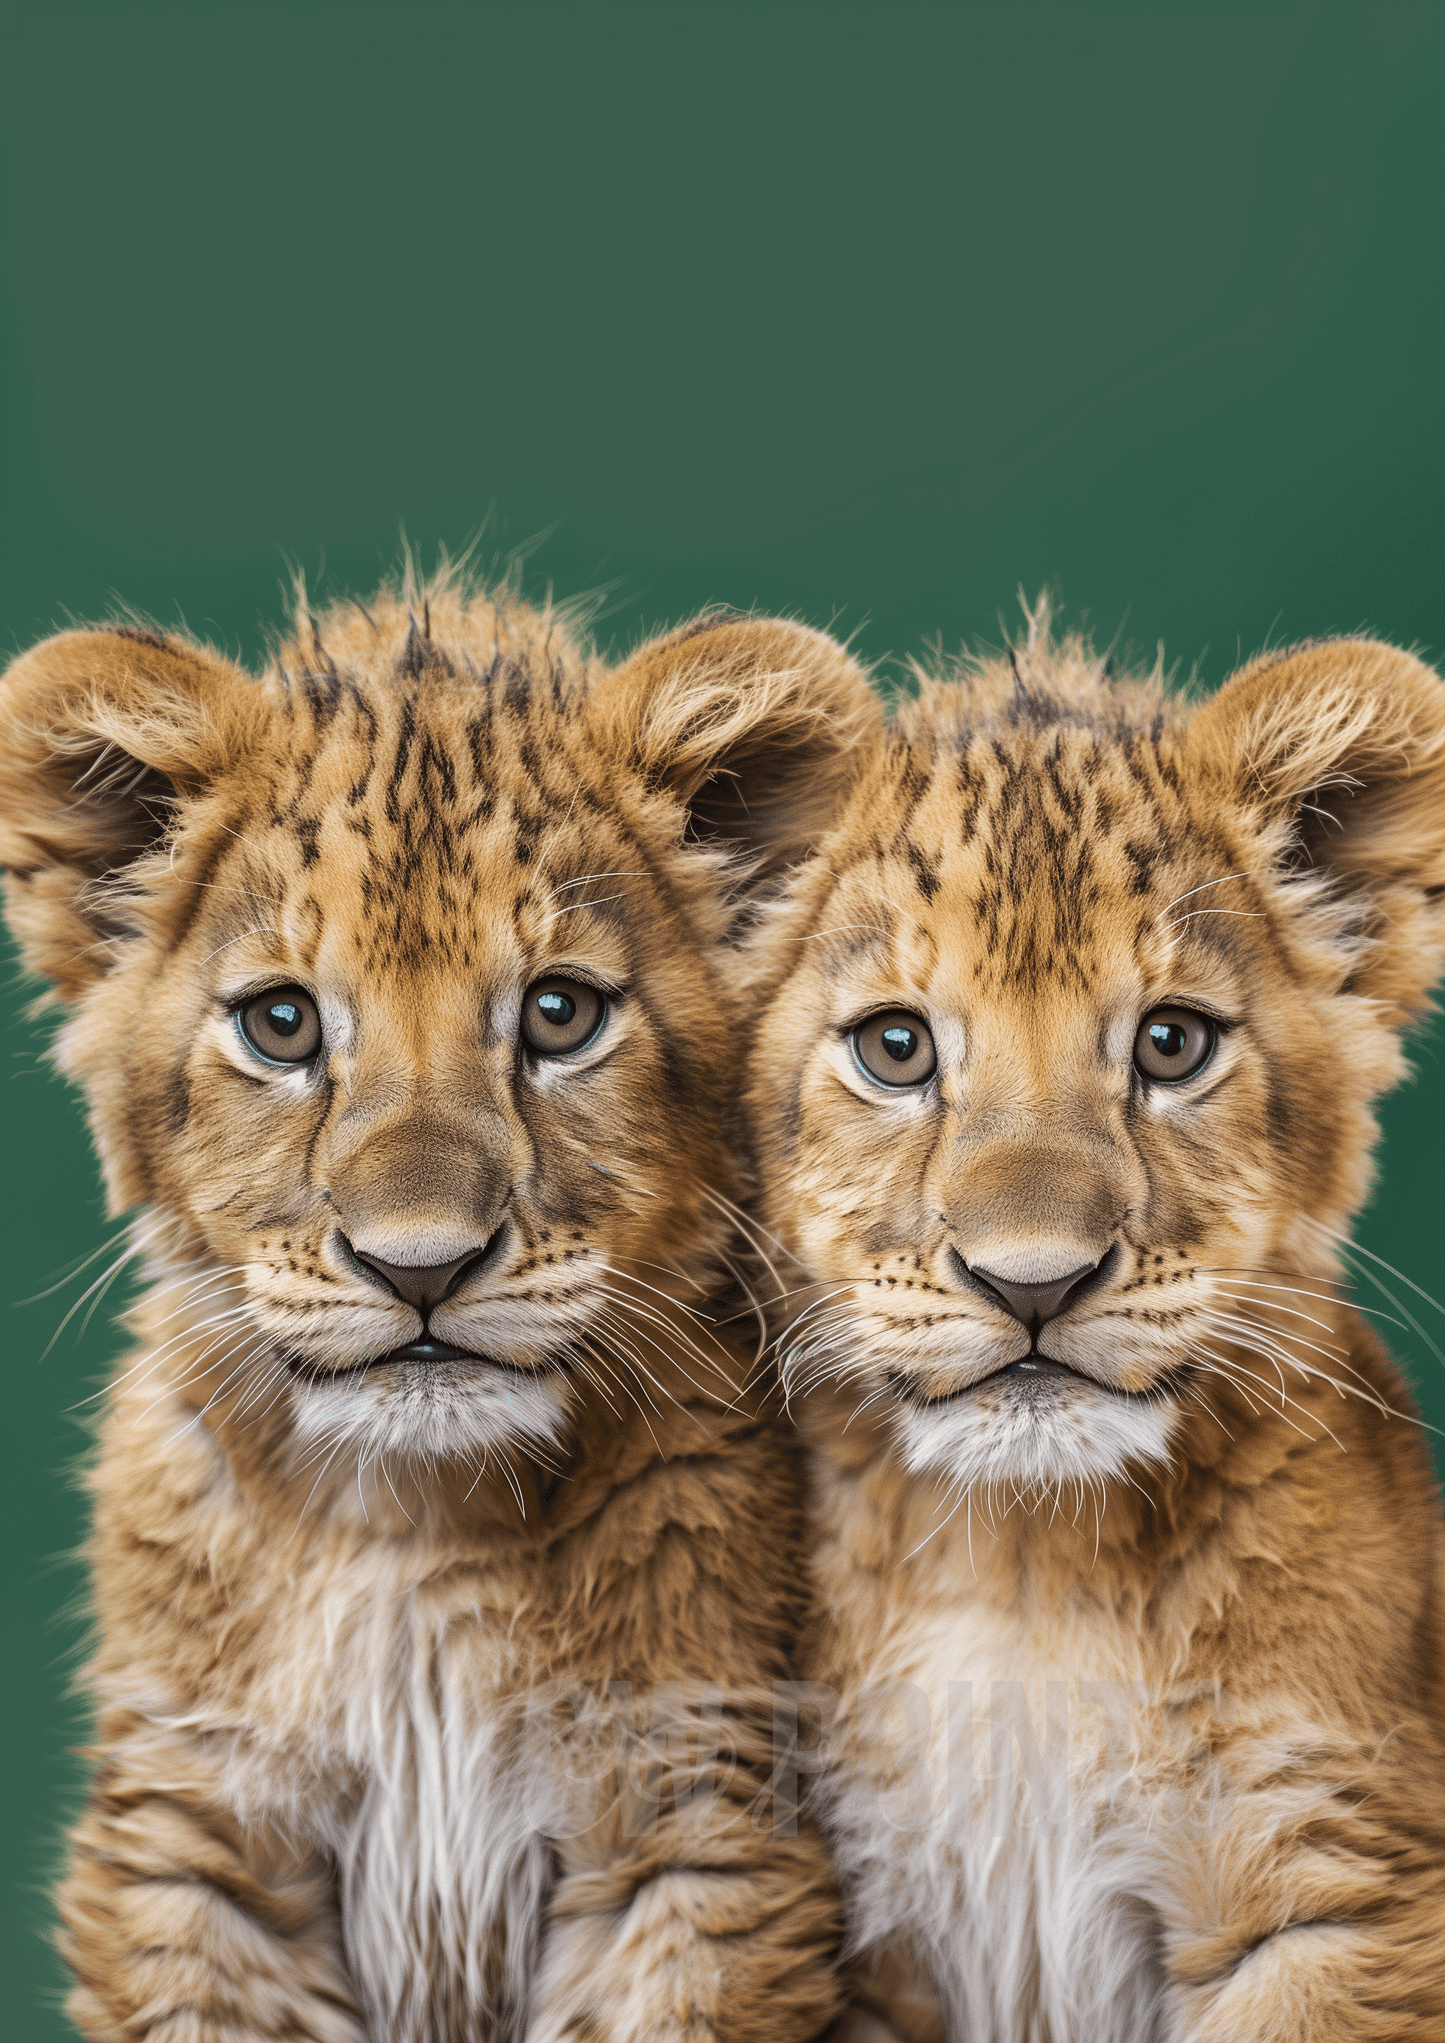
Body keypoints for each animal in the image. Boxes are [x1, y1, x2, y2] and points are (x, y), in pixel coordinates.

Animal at [0, 568, 883, 2043]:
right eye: (282, 1023)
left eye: (560, 1012)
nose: (419, 1263)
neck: (413, 1525)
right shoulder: (202, 1837)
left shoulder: (690, 1824)